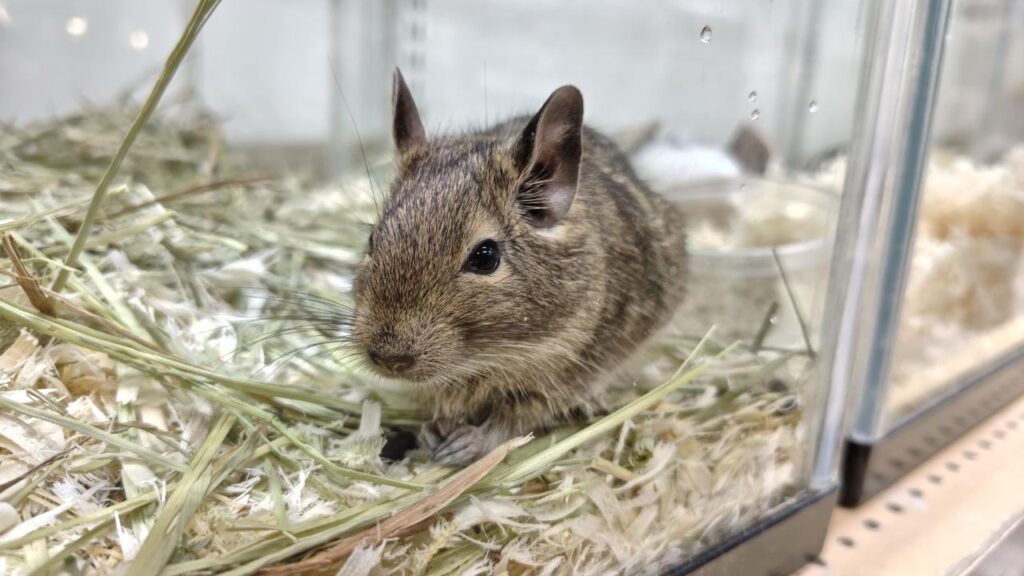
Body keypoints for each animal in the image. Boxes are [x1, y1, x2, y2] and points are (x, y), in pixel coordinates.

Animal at [352, 69, 687, 465]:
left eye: (486, 257)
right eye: (372, 238)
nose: (388, 359)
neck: (487, 357)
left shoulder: (558, 377)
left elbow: (510, 422)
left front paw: (465, 444)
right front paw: (435, 430)